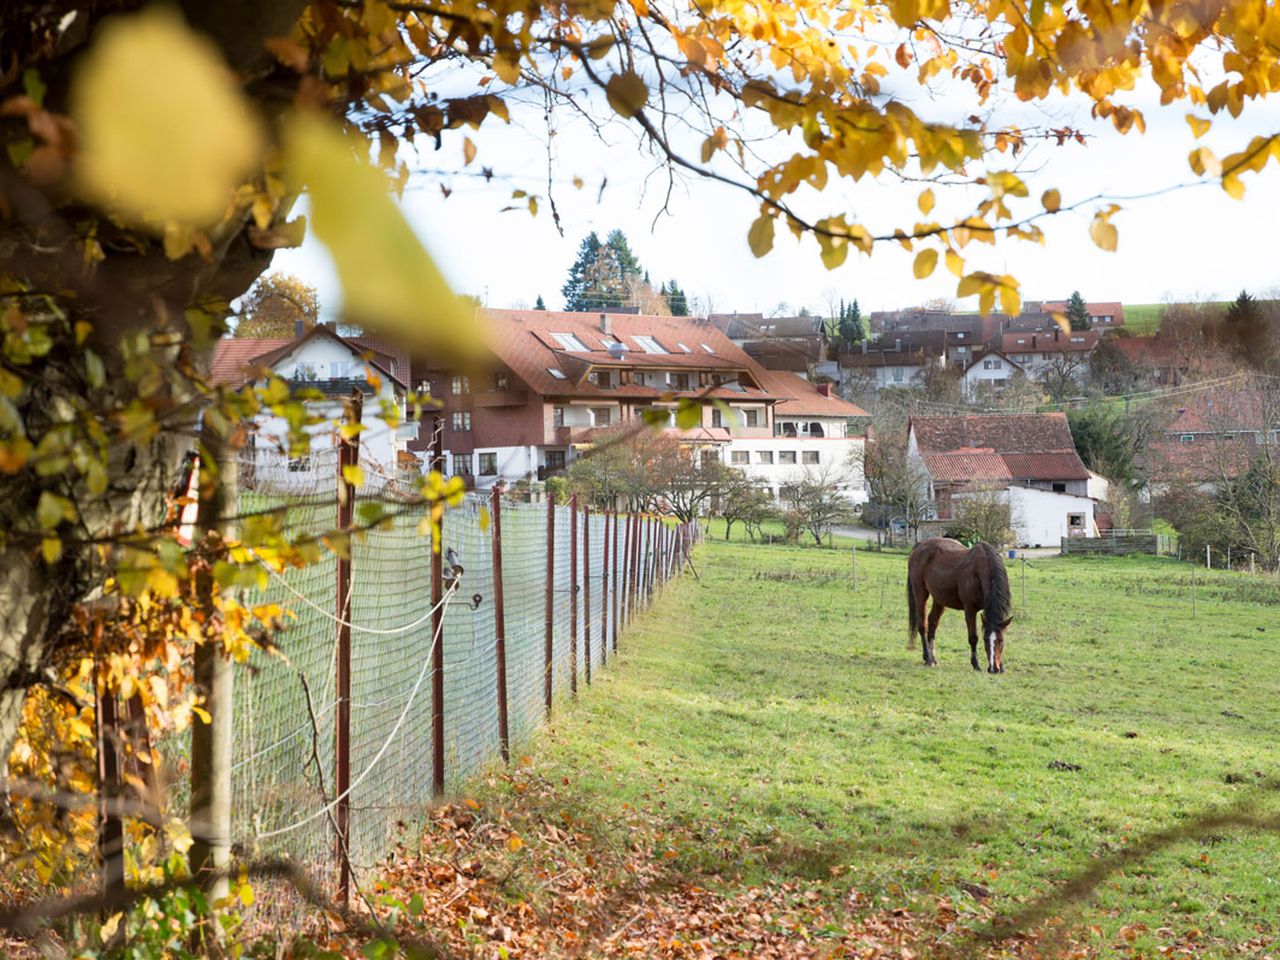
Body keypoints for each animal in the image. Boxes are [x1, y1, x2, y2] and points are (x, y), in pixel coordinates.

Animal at [911, 537, 1008, 670]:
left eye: (1001, 641)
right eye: (985, 640)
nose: (994, 668)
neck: (979, 569)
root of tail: (920, 545)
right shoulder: (970, 609)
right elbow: (973, 638)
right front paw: (975, 664)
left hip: (939, 599)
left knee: (933, 622)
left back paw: (933, 658)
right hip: (921, 594)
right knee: (922, 625)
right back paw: (927, 658)